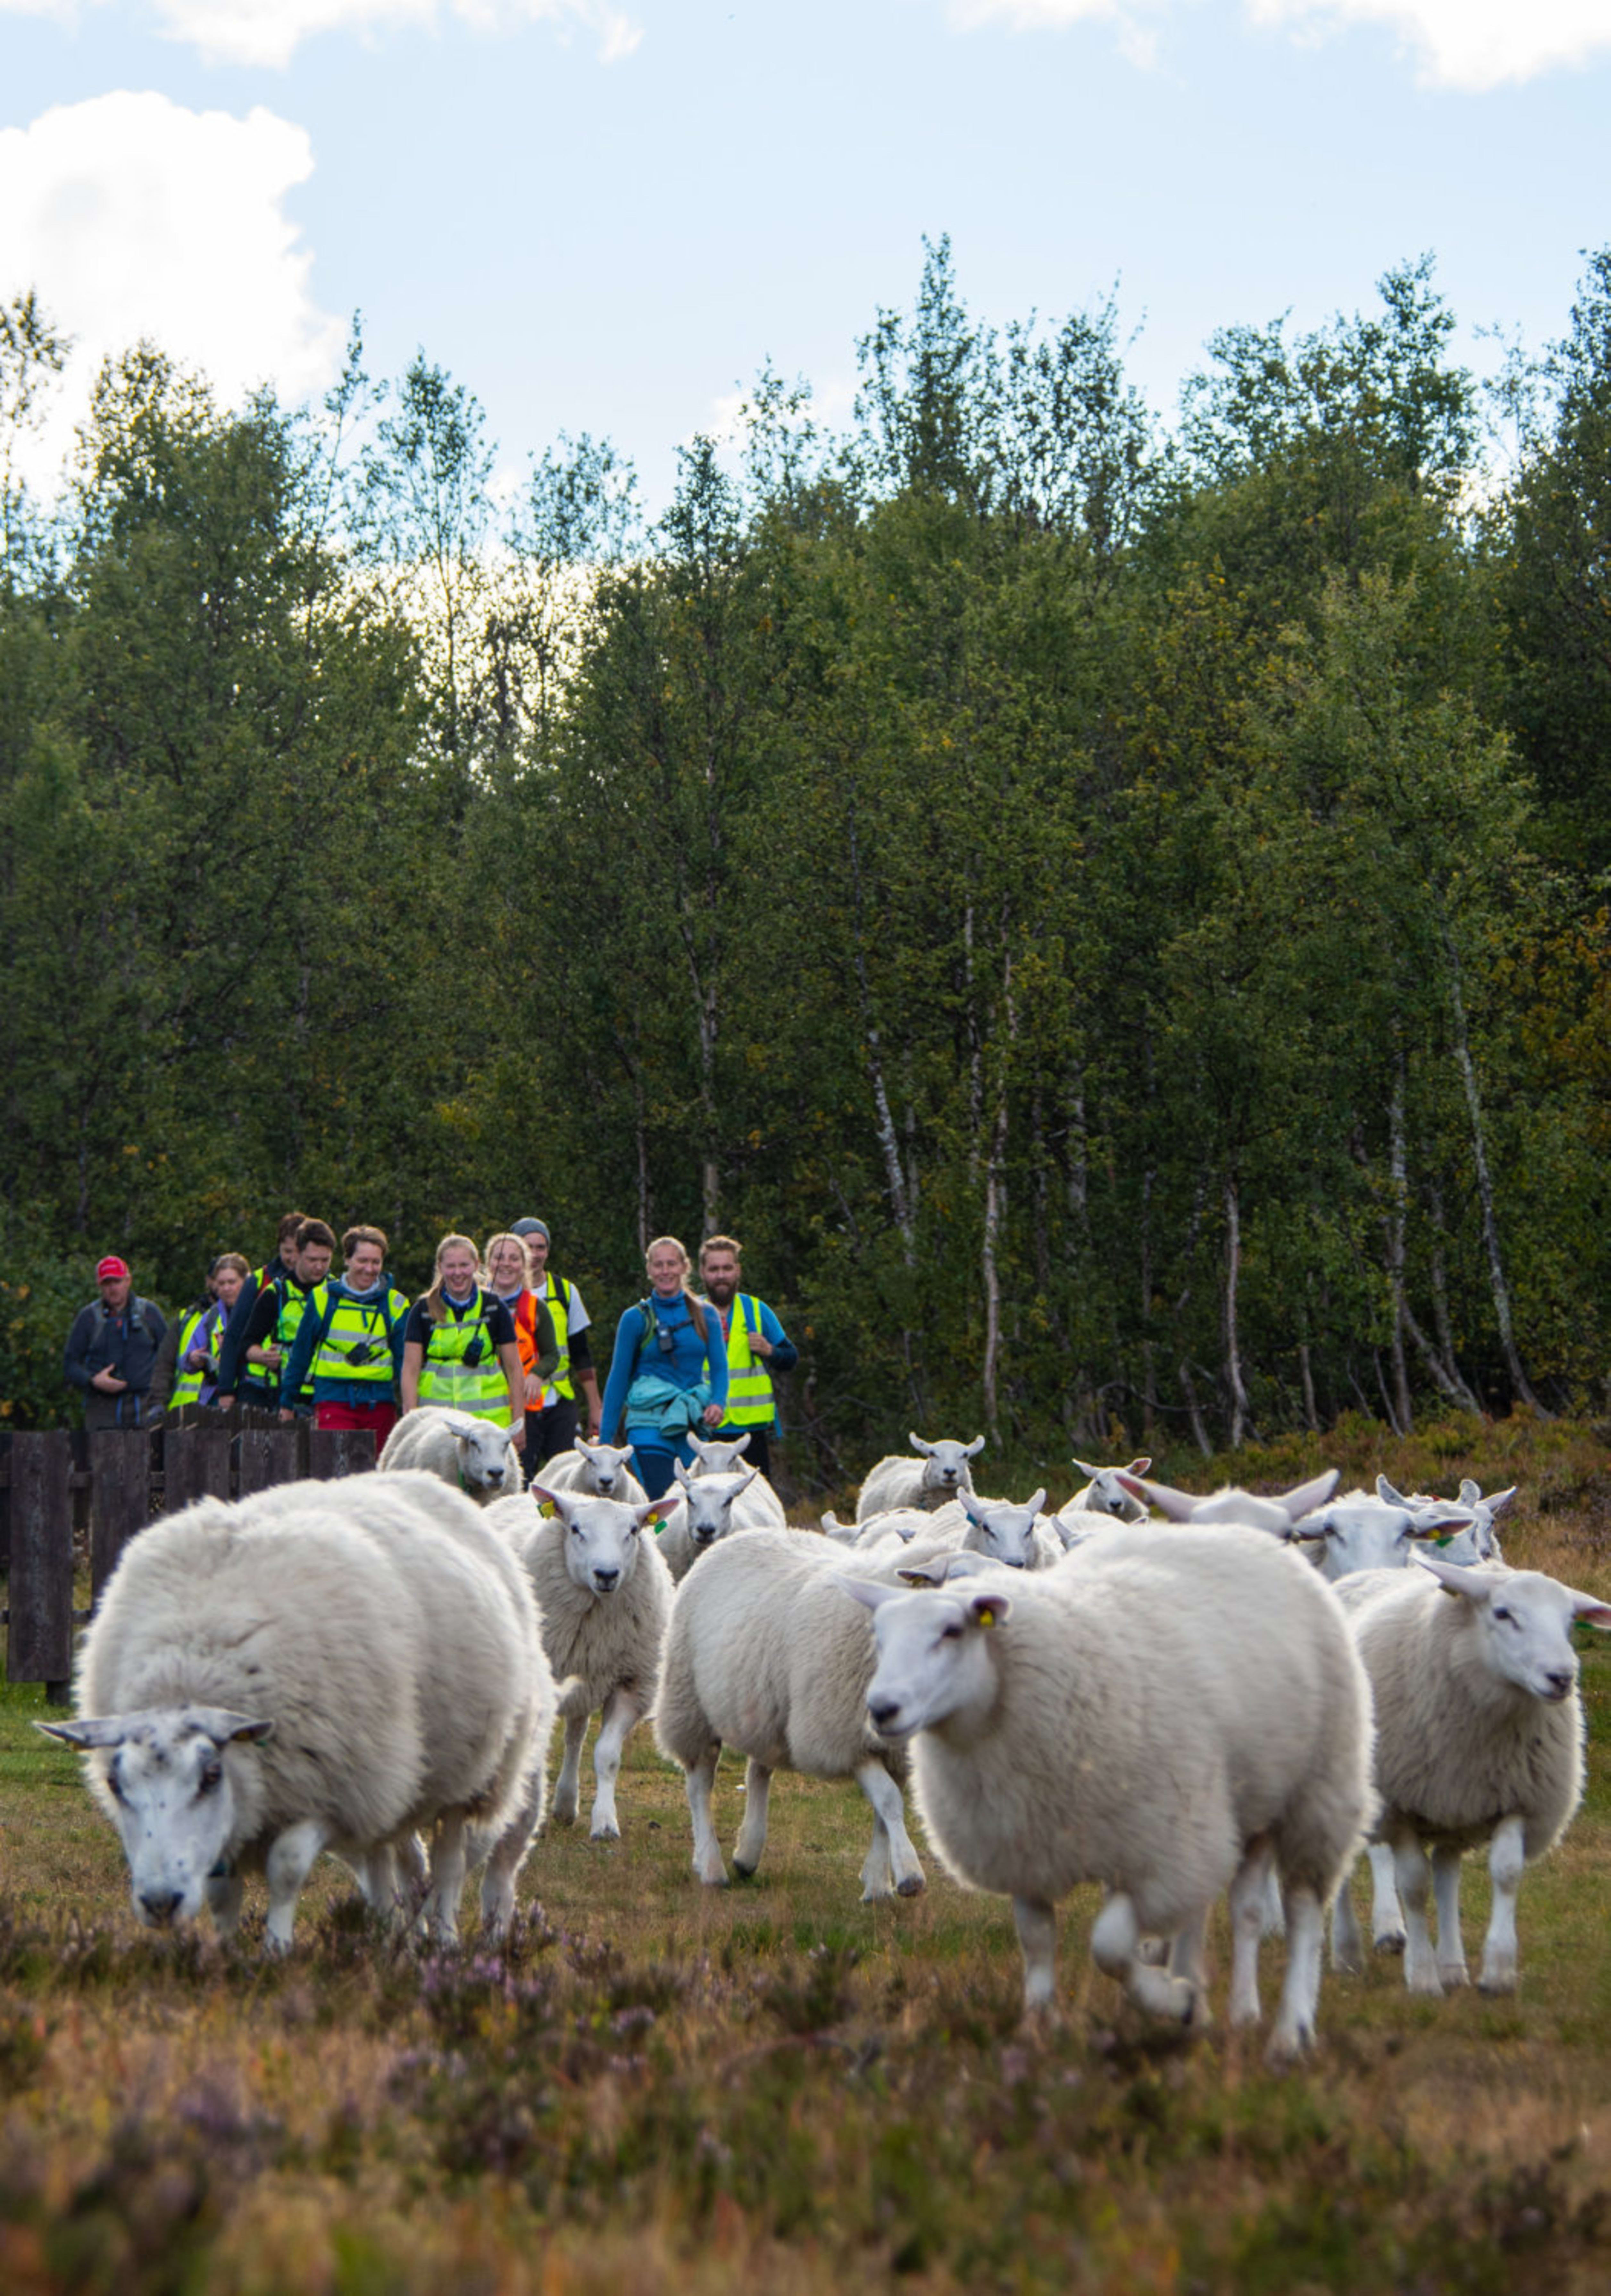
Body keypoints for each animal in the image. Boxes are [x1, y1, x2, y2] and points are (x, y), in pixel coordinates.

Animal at [36, 1471, 548, 1948]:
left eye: (209, 1777)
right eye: (114, 1784)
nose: (161, 1903)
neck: (192, 1663)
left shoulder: (328, 1790)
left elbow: (286, 1869)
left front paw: (277, 1949)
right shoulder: (270, 1800)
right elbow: (222, 1893)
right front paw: (224, 1953)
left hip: (468, 1775)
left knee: (448, 1865)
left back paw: (442, 1938)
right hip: (393, 1778)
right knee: (391, 1860)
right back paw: (390, 1933)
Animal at [495, 1483, 676, 1841]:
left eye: (633, 1531)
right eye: (576, 1529)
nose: (606, 1574)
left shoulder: (630, 1685)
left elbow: (607, 1756)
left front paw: (605, 1823)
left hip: (585, 1680)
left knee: (575, 1736)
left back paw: (566, 1805)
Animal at [655, 1527, 927, 1902]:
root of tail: (749, 1533)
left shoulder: (897, 1750)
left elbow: (883, 1811)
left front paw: (877, 1884)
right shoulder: (841, 1734)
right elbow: (888, 1801)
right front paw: (909, 1874)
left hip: (761, 1702)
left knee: (758, 1770)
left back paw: (747, 1853)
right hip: (690, 1701)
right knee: (700, 1783)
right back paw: (711, 1866)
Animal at [841, 1520, 1374, 2064]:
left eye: (951, 1631)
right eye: (878, 1637)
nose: (881, 1709)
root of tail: (1232, 1530)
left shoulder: (1155, 1851)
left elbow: (1110, 1946)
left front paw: (1170, 1997)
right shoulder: (1026, 1846)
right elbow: (1036, 1943)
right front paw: (1041, 2027)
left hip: (1313, 1791)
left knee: (1303, 1909)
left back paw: (1290, 2030)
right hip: (1241, 1806)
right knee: (1240, 1908)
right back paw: (1234, 2010)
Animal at [1329, 1551, 1611, 1994]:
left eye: (1569, 1619)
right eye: (1502, 1613)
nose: (1562, 1677)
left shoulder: (1518, 1798)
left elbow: (1506, 1873)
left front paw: (1497, 1972)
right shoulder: (1401, 1807)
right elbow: (1413, 1885)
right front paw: (1422, 1977)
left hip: (1454, 1807)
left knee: (1447, 1872)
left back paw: (1452, 1966)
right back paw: (1346, 1954)